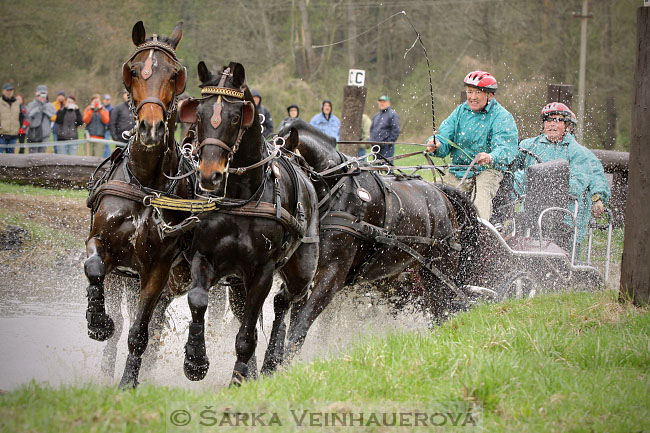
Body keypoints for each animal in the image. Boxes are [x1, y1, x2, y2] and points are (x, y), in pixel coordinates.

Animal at [83, 21, 192, 388]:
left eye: (175, 74)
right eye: (132, 70)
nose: (151, 128)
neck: (145, 182)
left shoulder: (157, 269)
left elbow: (141, 331)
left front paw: (128, 383)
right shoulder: (103, 245)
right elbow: (93, 266)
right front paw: (97, 320)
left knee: (153, 326)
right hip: (124, 280)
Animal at [177, 60, 318, 384]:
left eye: (234, 117)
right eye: (198, 114)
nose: (209, 175)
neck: (240, 197)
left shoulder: (262, 271)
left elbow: (247, 333)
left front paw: (239, 377)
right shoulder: (204, 255)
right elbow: (198, 300)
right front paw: (195, 359)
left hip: (302, 269)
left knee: (288, 301)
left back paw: (273, 360)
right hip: (238, 281)